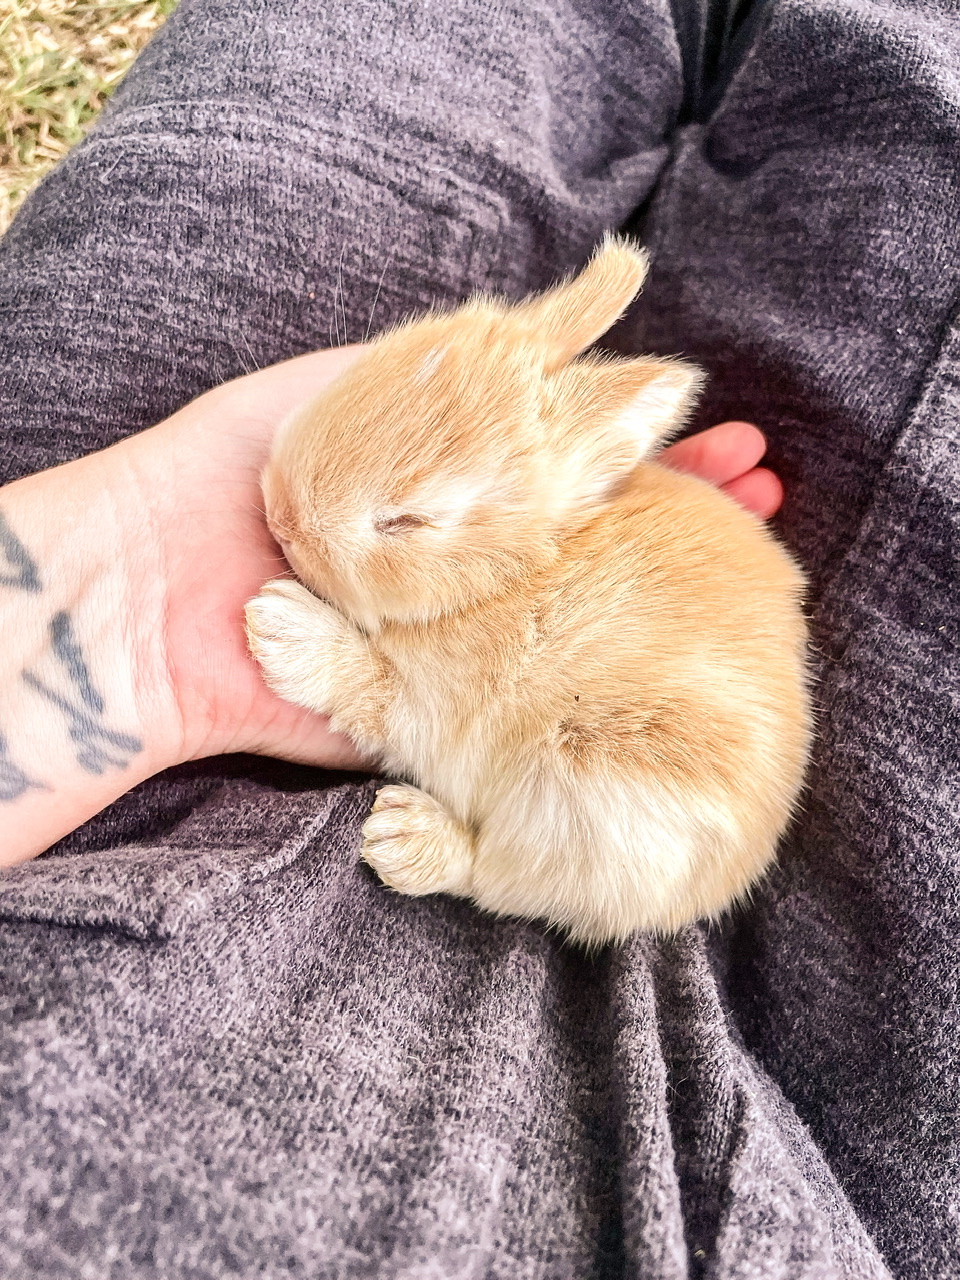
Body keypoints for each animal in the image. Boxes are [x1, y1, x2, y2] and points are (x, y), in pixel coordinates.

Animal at [244, 237, 811, 945]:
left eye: (409, 520)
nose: (280, 512)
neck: (511, 576)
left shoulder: (436, 704)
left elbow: (371, 689)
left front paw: (278, 627)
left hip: (585, 806)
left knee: (501, 878)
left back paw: (402, 838)